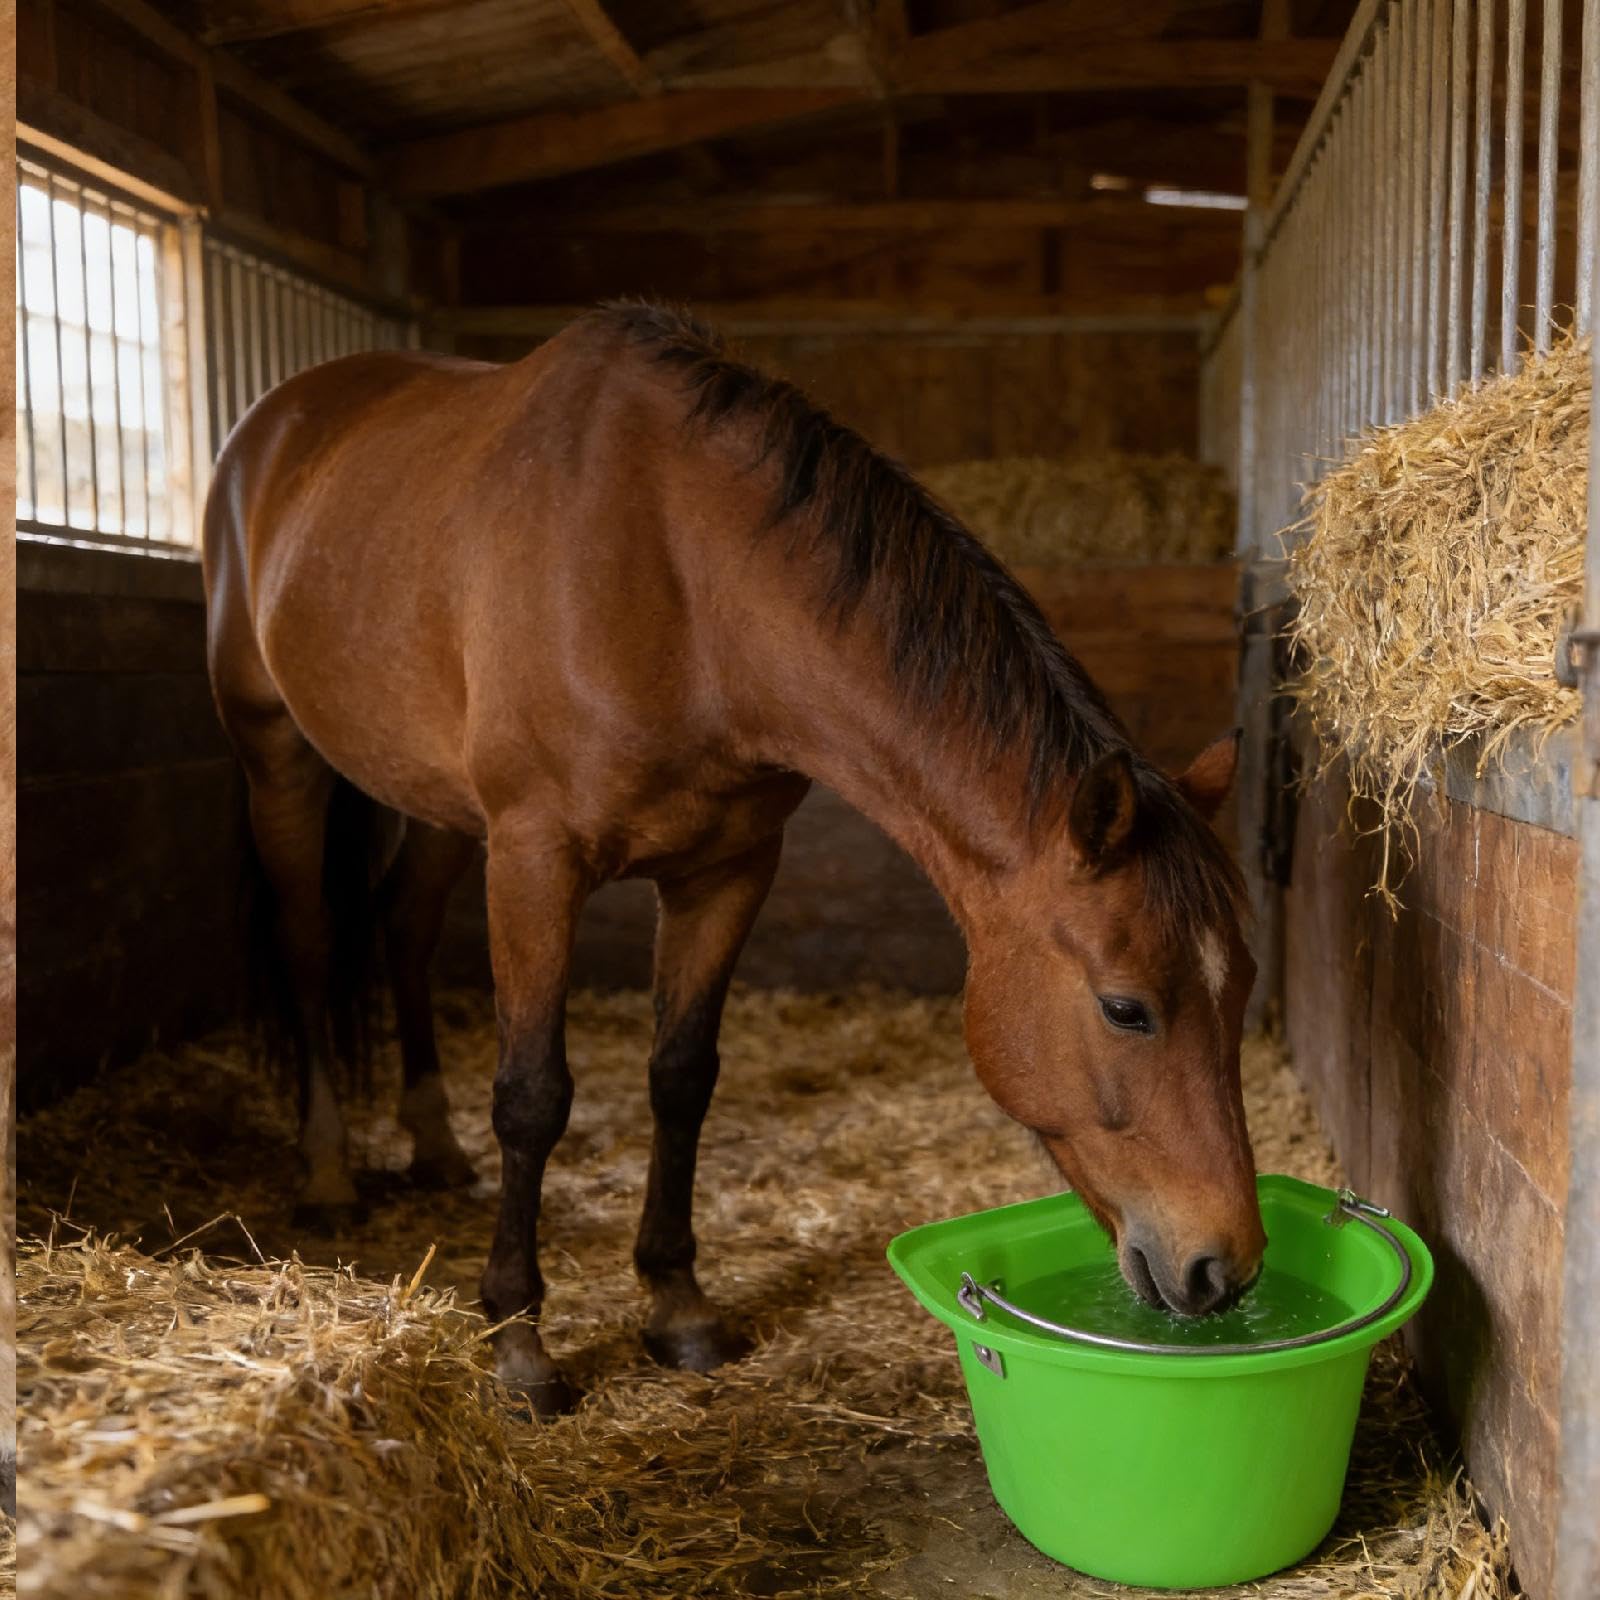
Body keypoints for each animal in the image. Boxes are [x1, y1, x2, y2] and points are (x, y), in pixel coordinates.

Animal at [204, 302, 1265, 1416]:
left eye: (1242, 989)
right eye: (1125, 1008)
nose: (1223, 1266)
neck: (679, 579)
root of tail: (276, 421)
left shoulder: (728, 869)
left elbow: (683, 1077)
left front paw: (678, 1306)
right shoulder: (535, 860)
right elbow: (532, 1096)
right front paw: (519, 1340)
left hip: (445, 808)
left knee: (404, 929)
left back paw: (434, 1145)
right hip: (280, 760)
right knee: (310, 945)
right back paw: (328, 1171)